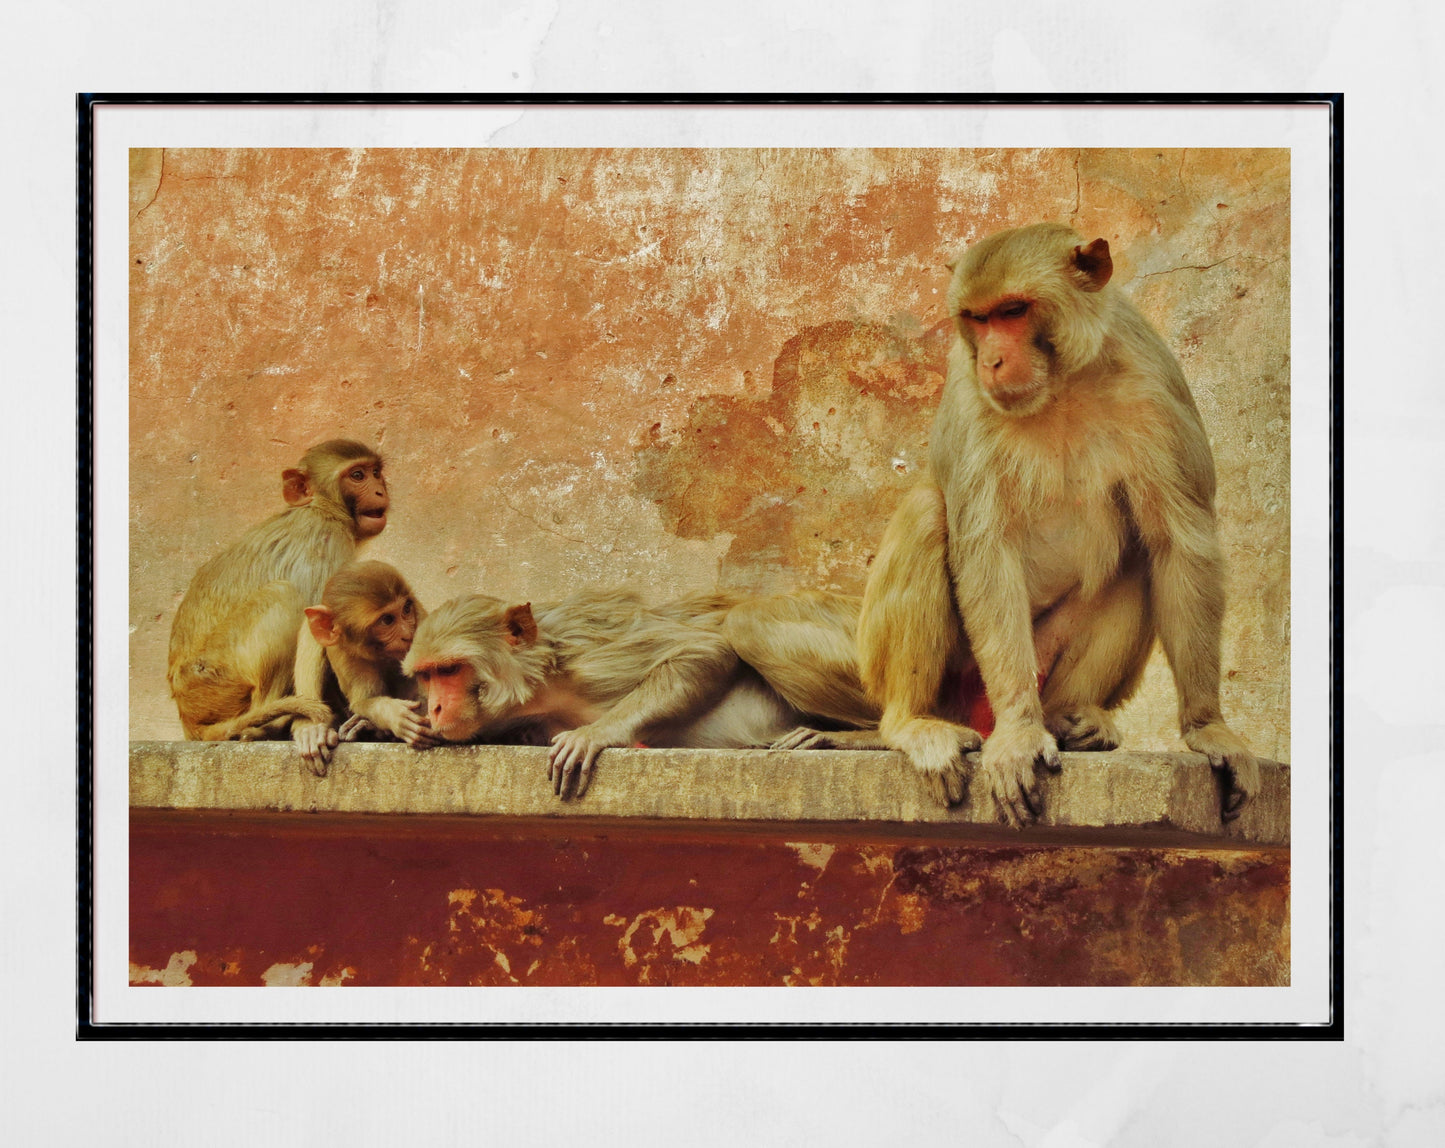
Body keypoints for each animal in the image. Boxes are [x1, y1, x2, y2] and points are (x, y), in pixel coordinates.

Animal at [166, 439, 390, 742]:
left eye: (375, 472)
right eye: (357, 476)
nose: (380, 489)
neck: (321, 508)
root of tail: (187, 717)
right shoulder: (327, 539)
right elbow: (320, 625)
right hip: (211, 677)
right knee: (282, 596)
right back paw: (265, 726)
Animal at [289, 560, 441, 775]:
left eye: (406, 609)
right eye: (387, 620)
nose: (407, 634)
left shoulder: (420, 622)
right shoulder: (345, 651)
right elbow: (364, 701)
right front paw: (393, 716)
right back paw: (312, 729)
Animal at [402, 587, 807, 798]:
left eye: (449, 669)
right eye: (426, 676)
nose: (435, 707)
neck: (544, 685)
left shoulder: (589, 654)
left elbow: (706, 648)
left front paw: (596, 734)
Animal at [851, 223, 1259, 826]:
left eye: (1013, 311)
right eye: (977, 318)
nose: (992, 360)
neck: (1062, 384)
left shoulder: (1157, 387)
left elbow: (1177, 544)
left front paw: (1208, 727)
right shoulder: (968, 396)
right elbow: (984, 548)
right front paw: (1020, 735)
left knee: (1140, 557)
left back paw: (1077, 718)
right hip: (961, 681)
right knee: (929, 515)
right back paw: (916, 721)